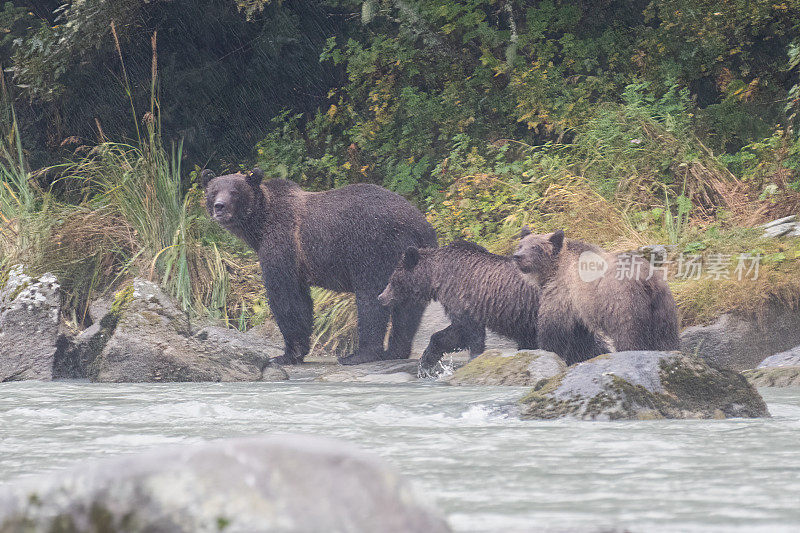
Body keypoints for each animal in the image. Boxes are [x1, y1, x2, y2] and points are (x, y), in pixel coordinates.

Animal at [202, 168, 438, 364]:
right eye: (214, 191)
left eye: (234, 191)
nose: (219, 207)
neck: (259, 226)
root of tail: (418, 224)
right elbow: (302, 300)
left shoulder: (283, 244)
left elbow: (285, 297)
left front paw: (286, 354)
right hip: (415, 255)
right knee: (408, 306)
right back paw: (396, 351)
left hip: (373, 247)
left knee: (370, 297)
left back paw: (359, 355)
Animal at [516, 229, 680, 366]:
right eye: (520, 245)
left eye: (536, 247)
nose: (518, 256)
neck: (554, 269)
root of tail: (646, 279)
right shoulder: (579, 307)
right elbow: (581, 338)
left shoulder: (562, 292)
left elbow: (553, 327)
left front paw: (549, 350)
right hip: (663, 307)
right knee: (666, 337)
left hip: (622, 302)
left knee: (628, 335)